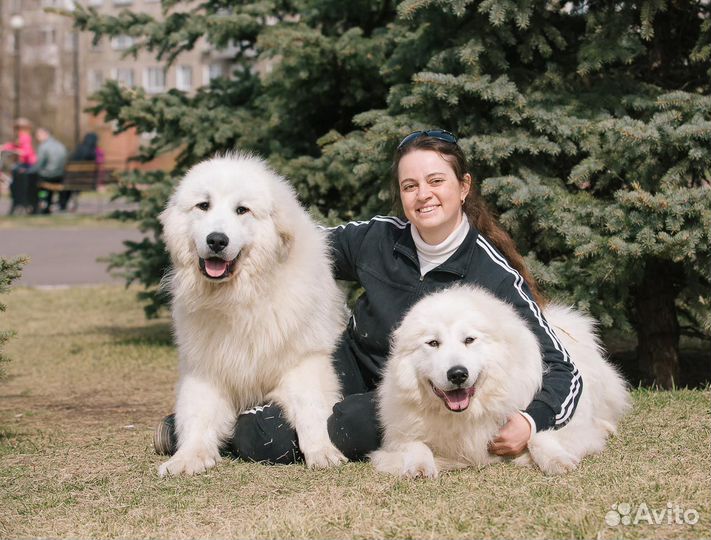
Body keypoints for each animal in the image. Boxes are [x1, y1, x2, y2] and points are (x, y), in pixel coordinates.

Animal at [160, 153, 350, 476]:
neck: (242, 298)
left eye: (242, 210)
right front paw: (189, 457)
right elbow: (197, 413)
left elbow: (312, 406)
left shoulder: (304, 360)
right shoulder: (207, 368)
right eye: (203, 205)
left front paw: (323, 451)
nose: (217, 240)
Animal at [370, 282, 632, 476]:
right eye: (433, 343)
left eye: (469, 340)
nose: (457, 374)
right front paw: (419, 466)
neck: (467, 414)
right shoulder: (397, 435)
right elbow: (415, 444)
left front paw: (557, 460)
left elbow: (537, 434)